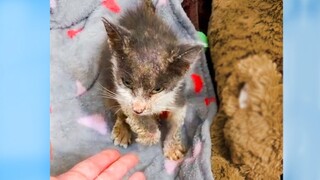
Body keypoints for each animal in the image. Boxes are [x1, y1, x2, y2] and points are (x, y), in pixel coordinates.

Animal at [99, 0, 201, 160]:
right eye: (127, 82)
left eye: (157, 89)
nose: (139, 109)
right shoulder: (121, 93)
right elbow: (128, 110)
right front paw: (147, 133)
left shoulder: (178, 94)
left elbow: (177, 121)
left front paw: (172, 147)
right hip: (107, 83)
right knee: (115, 108)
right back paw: (122, 130)